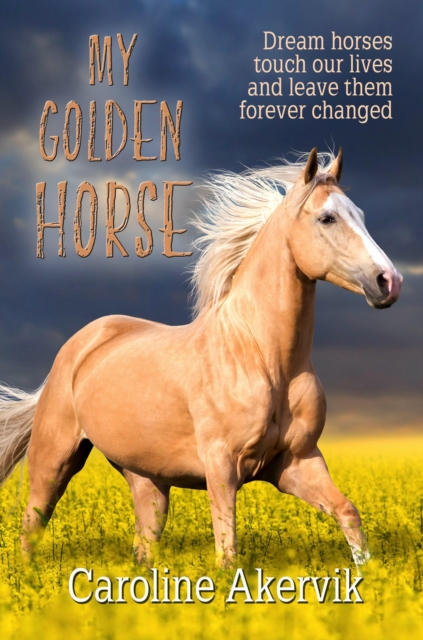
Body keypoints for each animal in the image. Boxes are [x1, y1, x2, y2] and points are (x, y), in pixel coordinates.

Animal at [0, 148, 402, 568]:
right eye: (327, 218)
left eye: (360, 213)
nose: (388, 282)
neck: (264, 359)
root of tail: (79, 345)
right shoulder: (221, 466)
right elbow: (227, 551)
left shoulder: (297, 462)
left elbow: (348, 512)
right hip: (54, 460)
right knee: (32, 525)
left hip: (147, 478)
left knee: (144, 542)